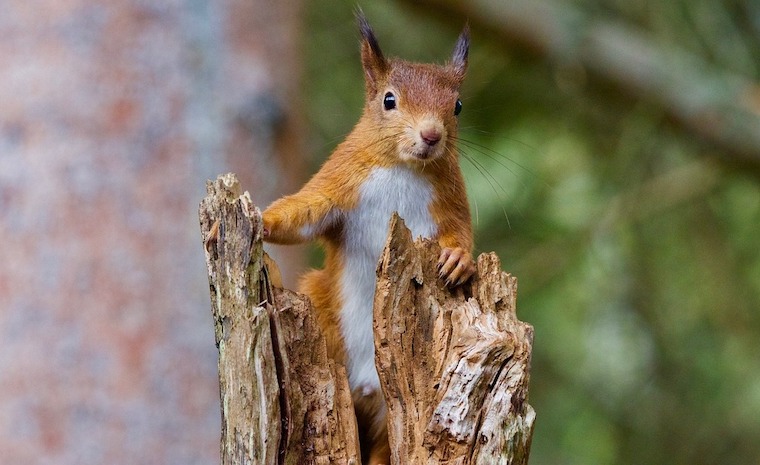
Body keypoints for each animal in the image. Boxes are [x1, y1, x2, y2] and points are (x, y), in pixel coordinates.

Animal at [262, 11, 474, 465]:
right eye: (389, 100)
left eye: (457, 106)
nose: (431, 135)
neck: (403, 166)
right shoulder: (339, 183)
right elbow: (305, 213)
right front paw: (261, 219)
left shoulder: (451, 202)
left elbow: (461, 233)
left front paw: (459, 260)